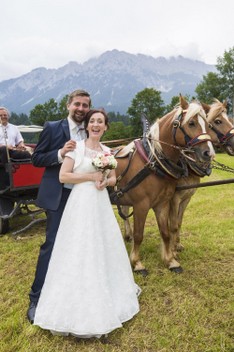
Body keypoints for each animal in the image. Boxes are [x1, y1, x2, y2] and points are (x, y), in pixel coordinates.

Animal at [110, 95, 215, 274]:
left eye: (208, 125)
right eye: (191, 123)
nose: (209, 153)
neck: (153, 162)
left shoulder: (163, 203)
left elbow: (165, 232)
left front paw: (170, 260)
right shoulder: (141, 205)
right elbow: (139, 234)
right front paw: (137, 263)